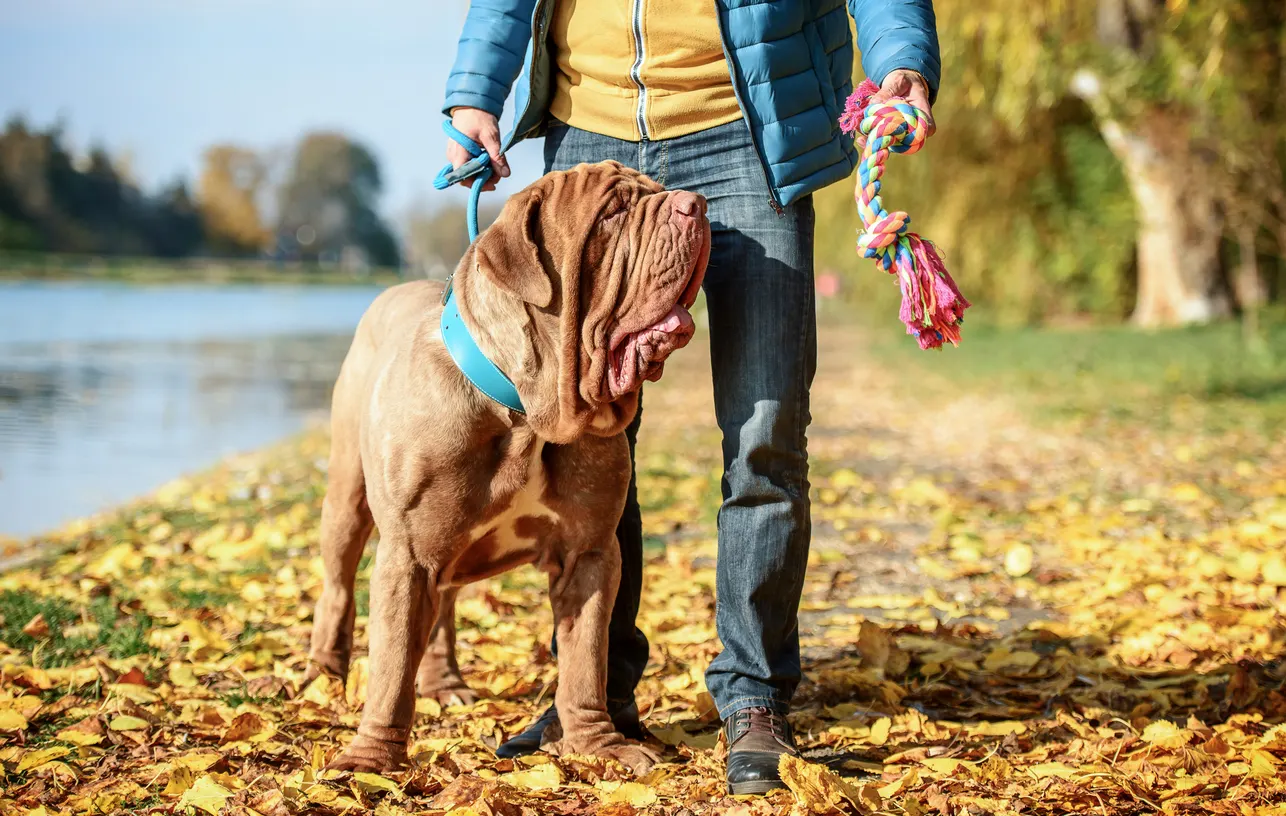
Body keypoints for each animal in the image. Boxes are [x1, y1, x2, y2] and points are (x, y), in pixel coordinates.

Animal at [311, 162, 715, 776]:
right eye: (614, 212)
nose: (695, 203)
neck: (526, 410)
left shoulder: (590, 551)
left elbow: (584, 660)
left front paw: (598, 745)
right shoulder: (406, 552)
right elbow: (389, 666)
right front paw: (371, 758)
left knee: (442, 607)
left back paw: (444, 683)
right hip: (349, 497)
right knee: (338, 584)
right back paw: (324, 674)